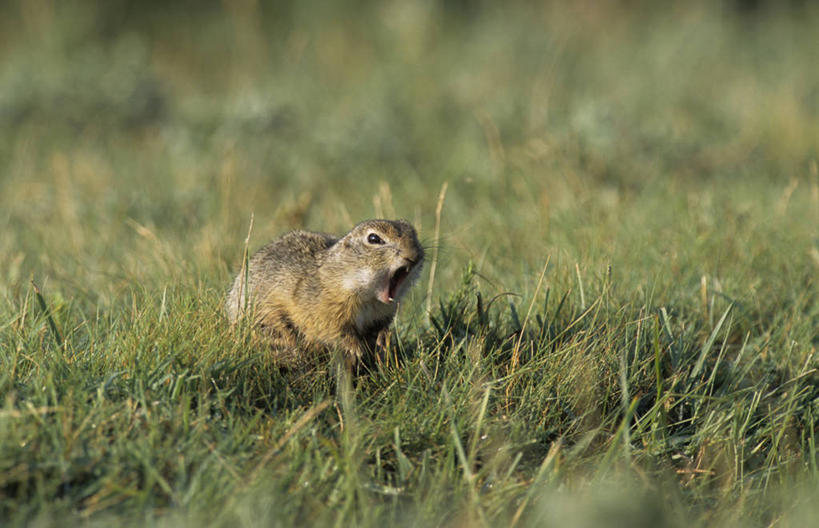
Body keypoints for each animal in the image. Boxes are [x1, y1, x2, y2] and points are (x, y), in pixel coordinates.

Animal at [227, 219, 426, 364]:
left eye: (414, 234)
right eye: (374, 239)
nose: (414, 255)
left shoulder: (382, 315)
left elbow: (379, 328)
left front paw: (383, 339)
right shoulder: (322, 310)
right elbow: (333, 330)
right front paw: (355, 348)